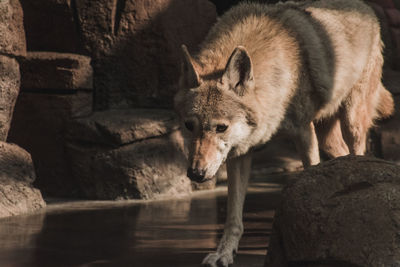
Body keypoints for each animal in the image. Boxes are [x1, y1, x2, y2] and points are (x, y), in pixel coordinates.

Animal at [174, 0, 394, 266]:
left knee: (358, 153)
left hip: (351, 121)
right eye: (189, 126)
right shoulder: (240, 152)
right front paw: (223, 254)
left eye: (221, 128)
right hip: (327, 138)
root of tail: (365, 7)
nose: (195, 174)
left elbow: (308, 180)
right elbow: (233, 216)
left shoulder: (303, 132)